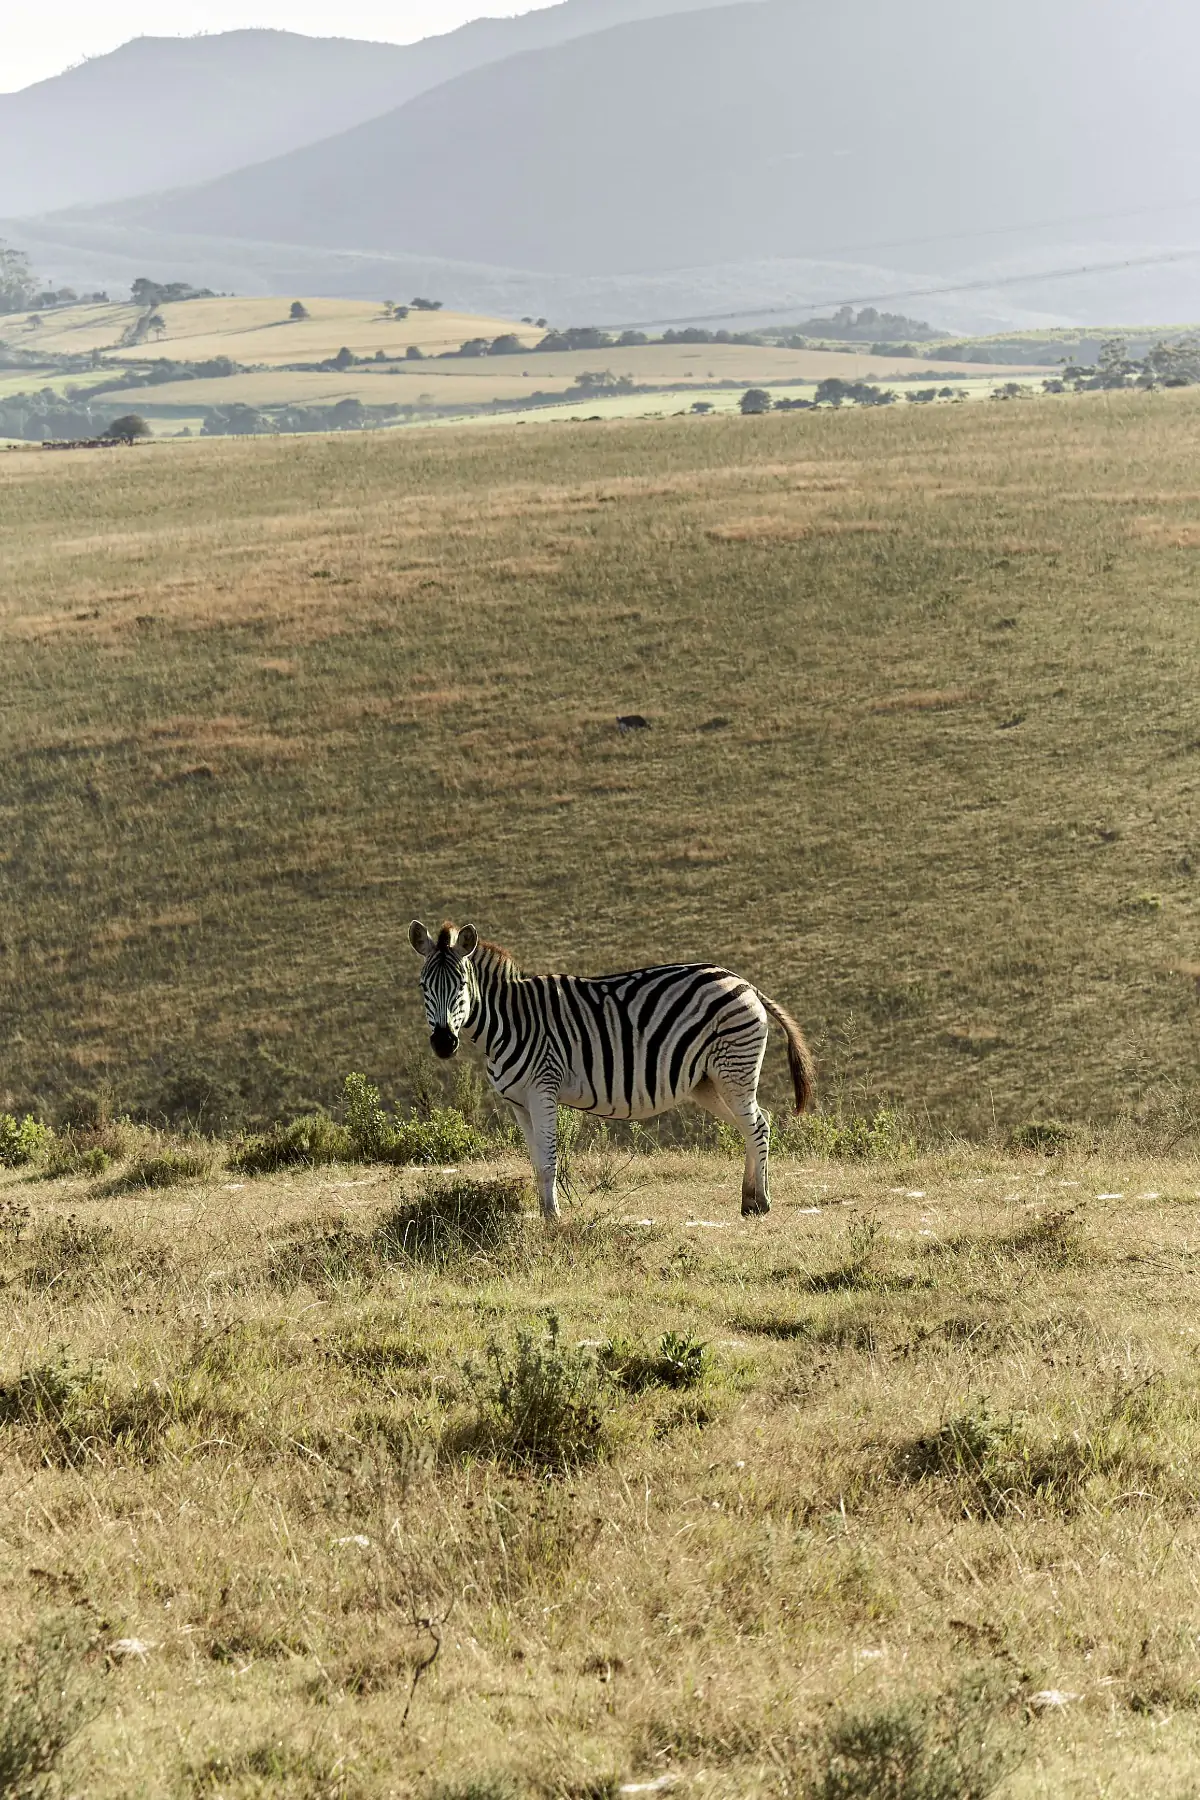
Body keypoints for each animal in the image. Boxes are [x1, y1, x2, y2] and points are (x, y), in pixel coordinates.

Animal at [406, 928, 816, 1224]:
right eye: (423, 986)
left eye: (461, 986)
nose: (443, 1043)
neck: (509, 1021)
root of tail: (744, 983)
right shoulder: (518, 1103)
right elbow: (536, 1161)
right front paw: (543, 1212)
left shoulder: (543, 1088)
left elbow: (550, 1158)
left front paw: (553, 1218)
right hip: (708, 1082)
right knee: (756, 1124)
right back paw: (749, 1200)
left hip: (733, 1070)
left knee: (757, 1125)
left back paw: (761, 1203)